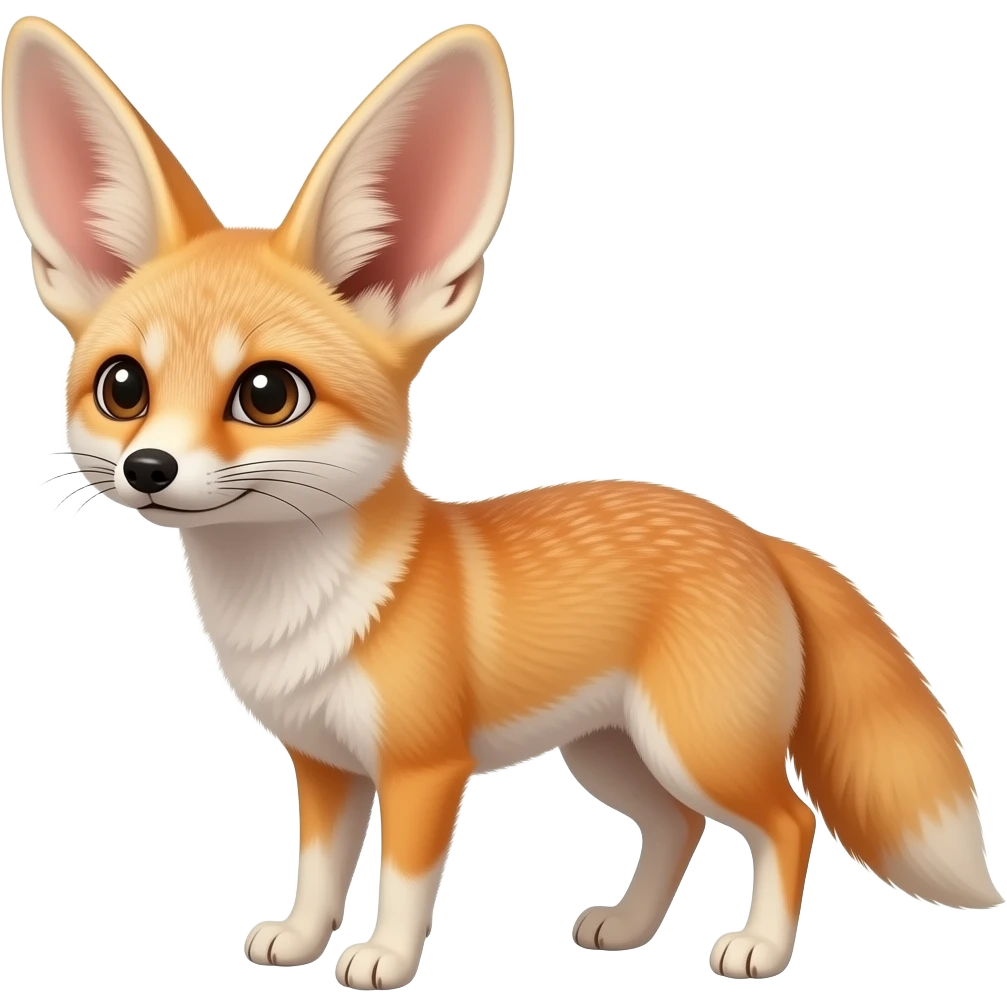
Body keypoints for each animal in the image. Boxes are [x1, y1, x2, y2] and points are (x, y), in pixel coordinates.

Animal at [8, 14, 1002, 989]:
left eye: (267, 394)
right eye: (123, 387)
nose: (149, 468)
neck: (305, 607)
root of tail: (754, 533)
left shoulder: (423, 767)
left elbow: (404, 881)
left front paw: (382, 959)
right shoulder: (325, 765)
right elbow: (319, 872)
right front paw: (297, 940)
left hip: (696, 746)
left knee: (789, 821)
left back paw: (757, 948)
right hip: (610, 753)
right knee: (677, 825)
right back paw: (627, 928)